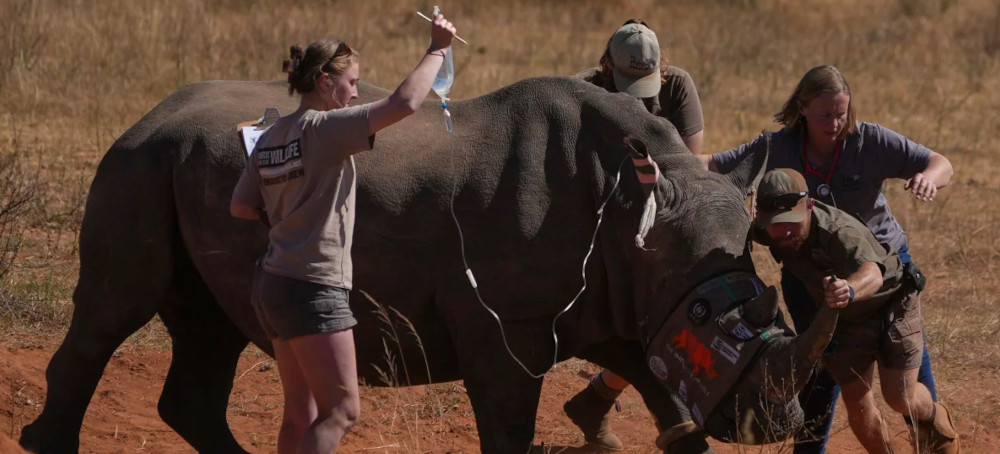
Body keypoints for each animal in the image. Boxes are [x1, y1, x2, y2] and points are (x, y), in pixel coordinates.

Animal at [20, 77, 837, 454]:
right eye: (706, 310)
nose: (773, 425)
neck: (638, 211)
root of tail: (147, 114)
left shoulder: (626, 306)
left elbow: (668, 399)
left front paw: (680, 433)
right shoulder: (508, 325)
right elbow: (508, 421)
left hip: (180, 168)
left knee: (210, 324)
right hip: (137, 163)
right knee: (113, 309)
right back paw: (47, 445)